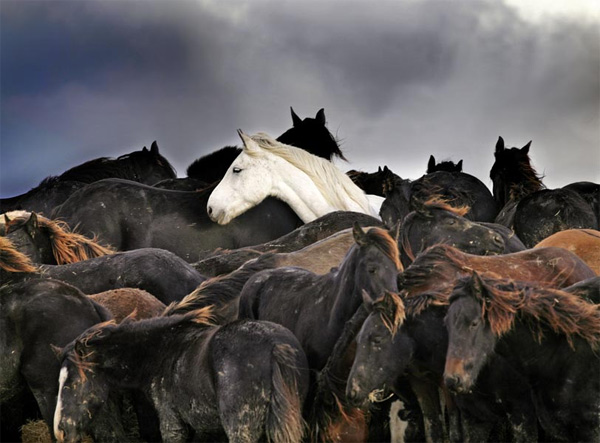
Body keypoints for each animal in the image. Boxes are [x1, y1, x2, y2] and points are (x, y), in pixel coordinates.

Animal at [54, 314, 310, 442]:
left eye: (71, 383)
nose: (60, 431)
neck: (160, 352)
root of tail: (274, 346)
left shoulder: (171, 423)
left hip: (241, 428)